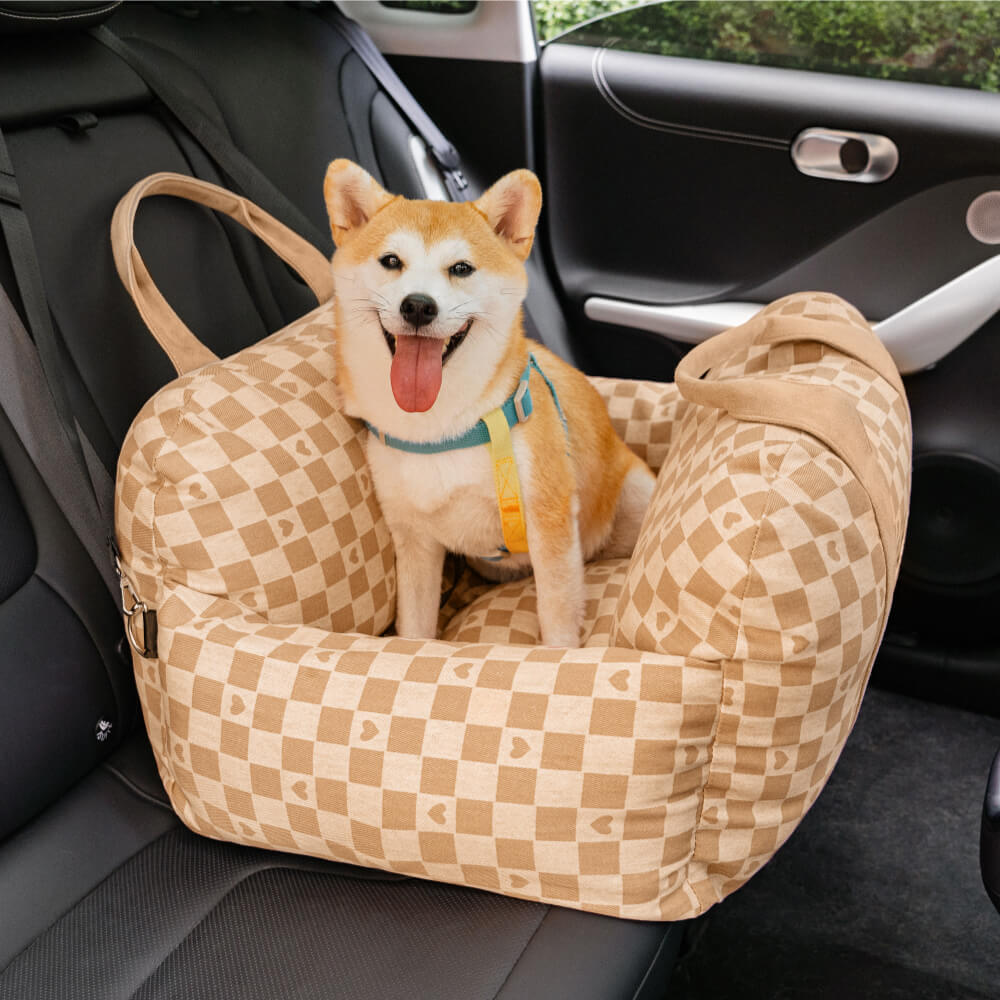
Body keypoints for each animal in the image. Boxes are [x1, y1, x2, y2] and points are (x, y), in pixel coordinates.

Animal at [326, 159, 656, 648]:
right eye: (391, 261)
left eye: (461, 268)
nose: (418, 306)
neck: (441, 431)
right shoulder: (414, 540)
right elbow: (414, 629)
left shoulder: (549, 523)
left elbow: (558, 619)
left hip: (633, 495)